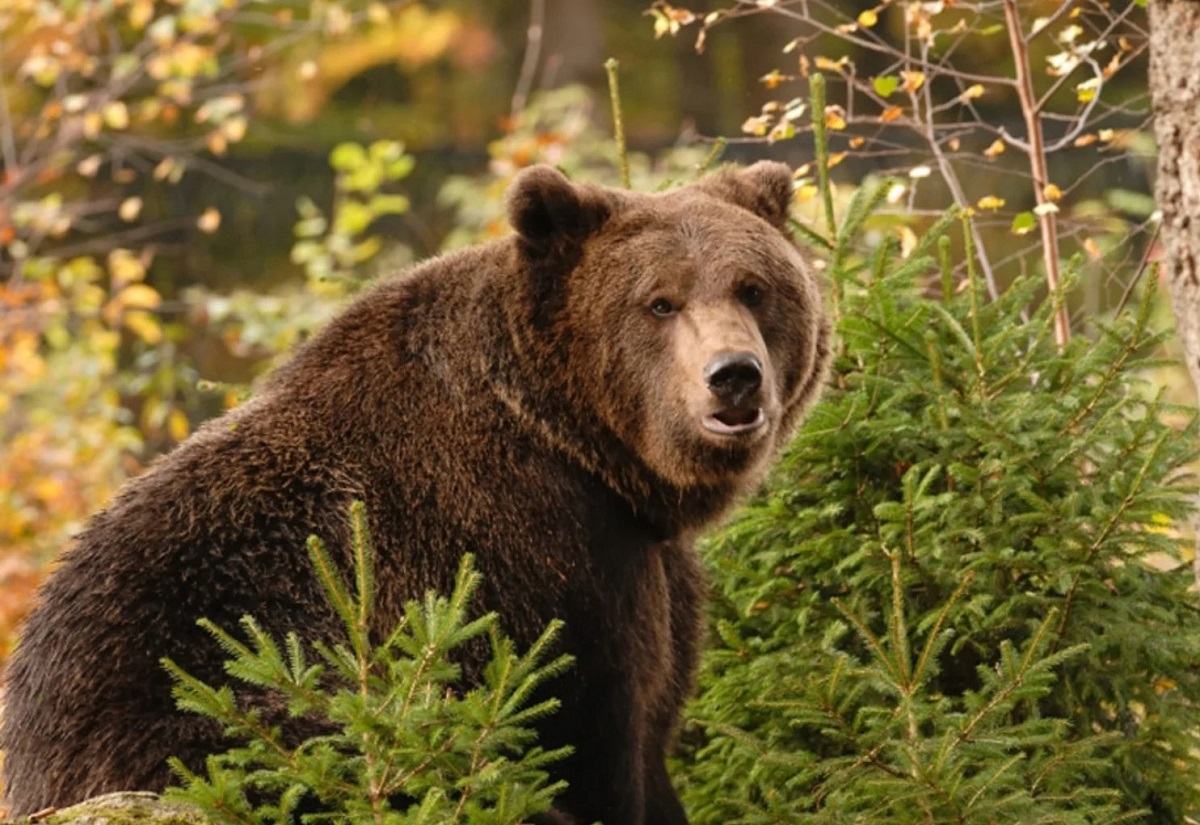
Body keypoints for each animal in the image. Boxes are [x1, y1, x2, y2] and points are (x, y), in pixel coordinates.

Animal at [0, 163, 825, 825]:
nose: (734, 376)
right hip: (217, 721)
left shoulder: (643, 558)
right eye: (660, 301)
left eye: (755, 288)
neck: (578, 443)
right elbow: (598, 733)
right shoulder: (554, 556)